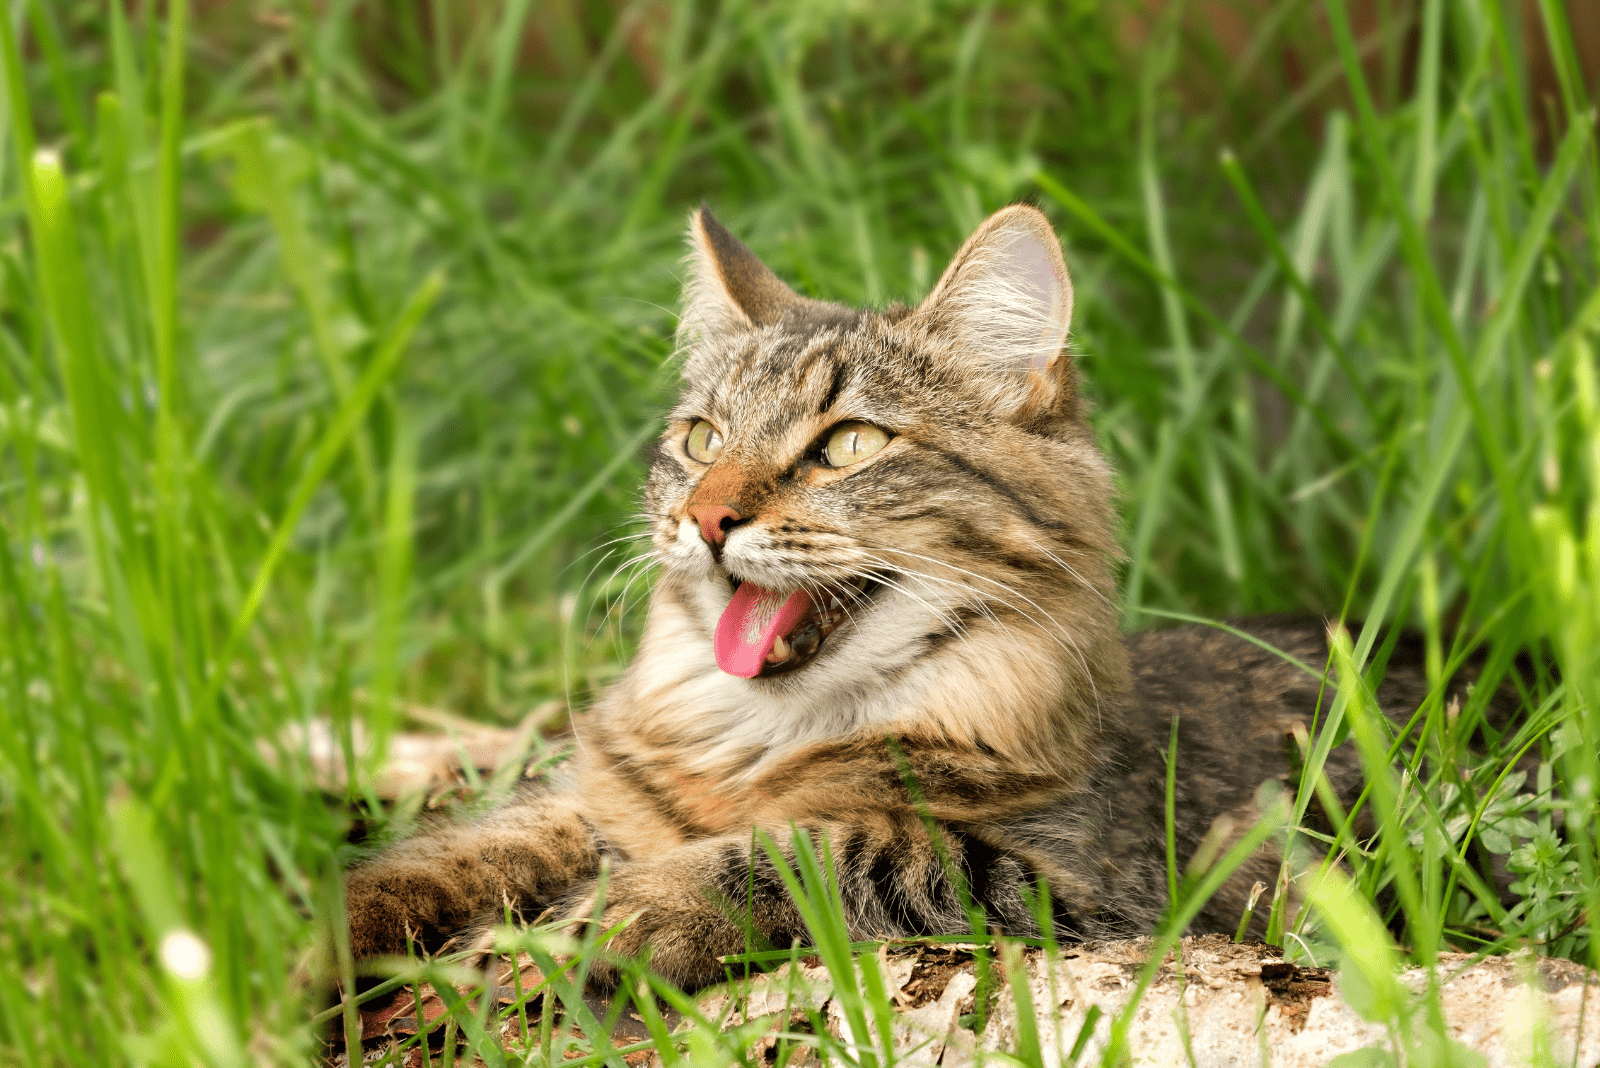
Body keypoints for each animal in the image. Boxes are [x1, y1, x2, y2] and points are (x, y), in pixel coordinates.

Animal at [340, 202, 1497, 991]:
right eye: (701, 440)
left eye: (847, 445)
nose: (706, 519)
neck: (761, 737)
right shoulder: (583, 800)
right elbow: (439, 856)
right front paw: (315, 939)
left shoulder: (1080, 883)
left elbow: (825, 846)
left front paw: (610, 920)